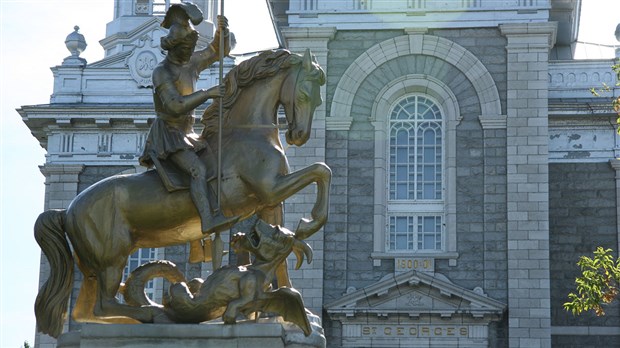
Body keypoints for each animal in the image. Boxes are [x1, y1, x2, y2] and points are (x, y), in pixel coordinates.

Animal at [35, 49, 330, 338]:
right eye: (304, 94)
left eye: (319, 99)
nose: (299, 135)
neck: (246, 134)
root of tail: (68, 209)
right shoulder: (270, 189)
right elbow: (320, 170)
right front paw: (312, 220)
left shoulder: (270, 203)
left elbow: (284, 250)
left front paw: (288, 315)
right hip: (112, 258)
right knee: (103, 305)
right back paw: (153, 312)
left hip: (91, 266)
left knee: (84, 311)